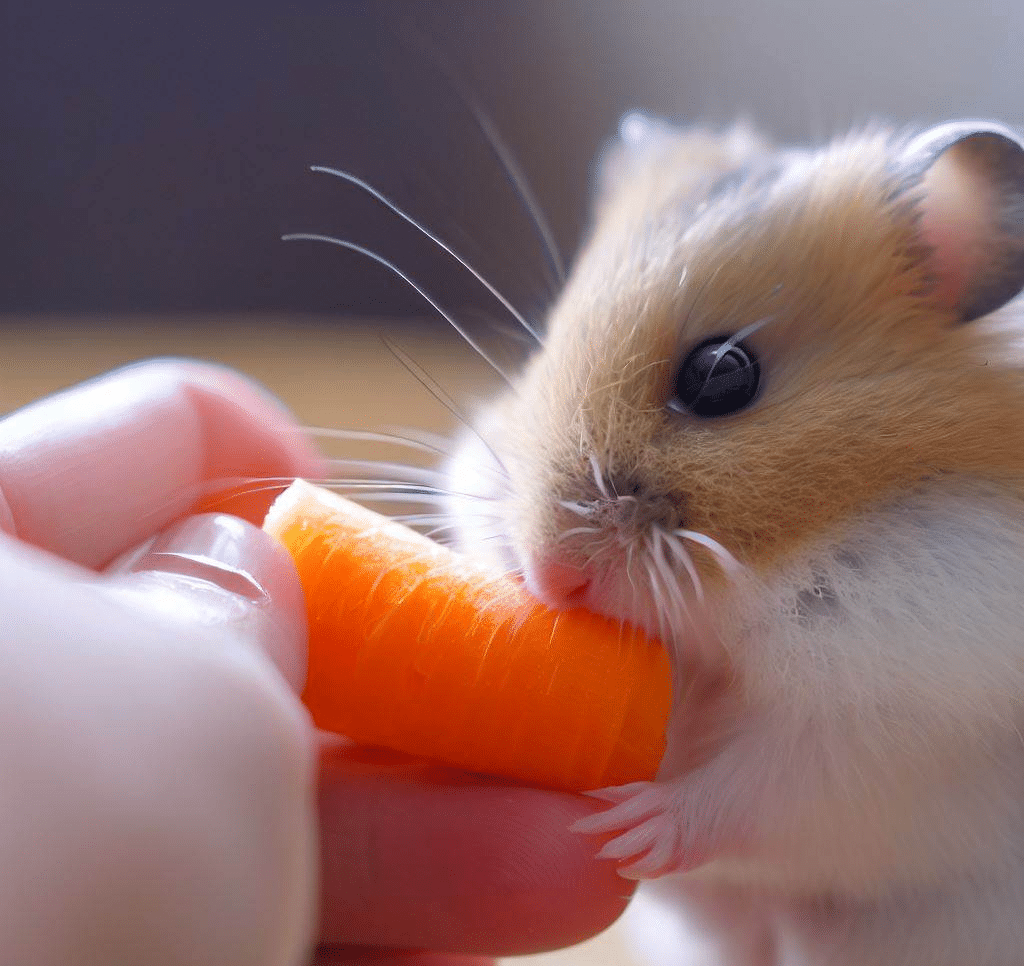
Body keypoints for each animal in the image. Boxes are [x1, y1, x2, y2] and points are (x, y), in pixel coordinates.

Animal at [448, 118, 1024, 966]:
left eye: (721, 374)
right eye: (541, 350)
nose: (548, 579)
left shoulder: (902, 721)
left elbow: (761, 788)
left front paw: (625, 828)